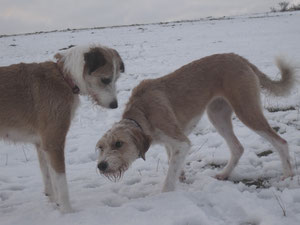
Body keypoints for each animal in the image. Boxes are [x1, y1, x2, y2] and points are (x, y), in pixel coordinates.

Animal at [0, 44, 124, 213]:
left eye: (116, 79)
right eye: (105, 79)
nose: (114, 105)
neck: (65, 77)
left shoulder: (41, 144)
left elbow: (48, 177)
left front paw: (53, 203)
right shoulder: (54, 142)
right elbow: (61, 182)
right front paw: (67, 211)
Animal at [96, 52, 296, 192]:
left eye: (118, 144)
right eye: (100, 148)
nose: (101, 165)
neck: (142, 112)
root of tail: (239, 58)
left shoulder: (180, 141)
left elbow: (170, 177)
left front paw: (164, 196)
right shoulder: (170, 142)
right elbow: (173, 163)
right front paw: (182, 176)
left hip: (246, 110)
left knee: (281, 142)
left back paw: (287, 174)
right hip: (217, 115)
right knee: (237, 147)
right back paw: (224, 174)